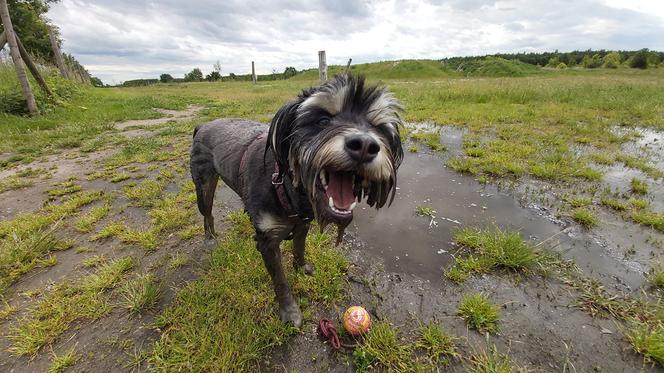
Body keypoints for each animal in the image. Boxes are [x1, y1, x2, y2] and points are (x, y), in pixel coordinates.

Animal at [189, 74, 402, 324]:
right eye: (322, 121)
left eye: (379, 128)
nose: (366, 146)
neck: (286, 188)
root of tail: (202, 126)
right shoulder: (267, 242)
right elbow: (280, 281)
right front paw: (290, 311)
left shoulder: (302, 226)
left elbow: (299, 249)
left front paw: (302, 268)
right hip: (203, 186)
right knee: (207, 213)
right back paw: (210, 238)